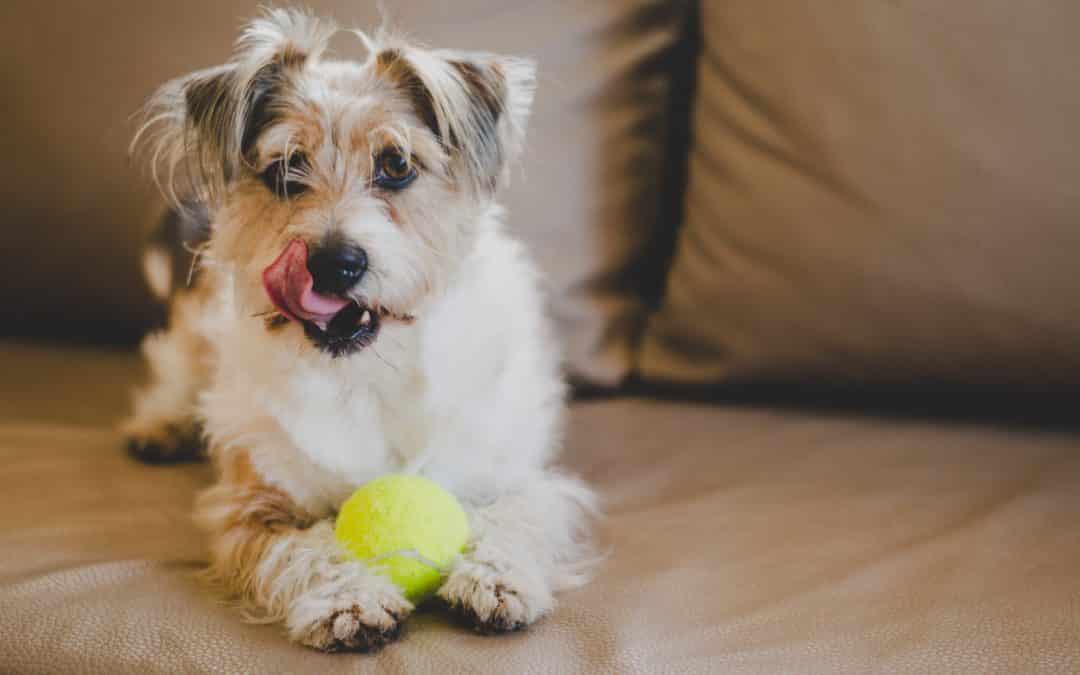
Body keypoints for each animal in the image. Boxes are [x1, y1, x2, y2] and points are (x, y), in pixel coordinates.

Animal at [122, 10, 604, 652]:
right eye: (285, 170)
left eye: (396, 165)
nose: (334, 263)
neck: (366, 375)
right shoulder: (250, 505)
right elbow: (302, 548)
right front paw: (348, 598)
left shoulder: (520, 479)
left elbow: (519, 517)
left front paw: (496, 577)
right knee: (175, 365)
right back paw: (160, 424)